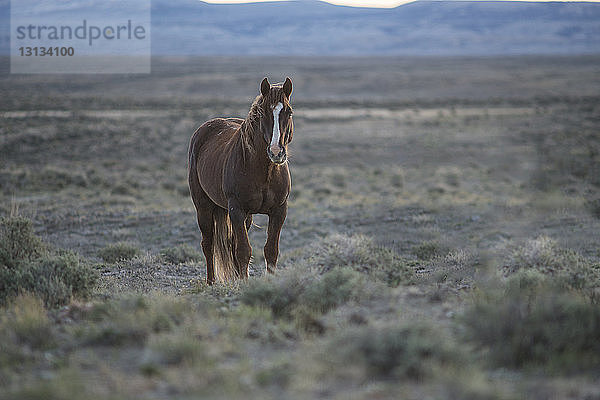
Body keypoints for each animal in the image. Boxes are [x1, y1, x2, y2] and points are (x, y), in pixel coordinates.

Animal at [186, 77, 292, 284]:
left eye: (289, 112)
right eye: (263, 113)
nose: (276, 152)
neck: (263, 172)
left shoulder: (278, 210)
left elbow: (270, 250)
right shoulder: (236, 209)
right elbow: (243, 250)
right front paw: (244, 284)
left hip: (245, 216)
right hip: (204, 207)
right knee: (208, 244)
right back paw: (211, 282)